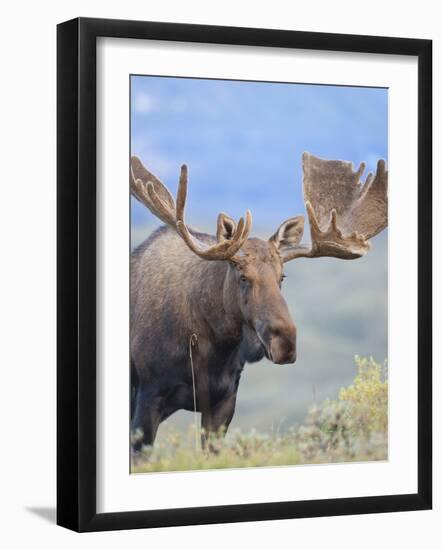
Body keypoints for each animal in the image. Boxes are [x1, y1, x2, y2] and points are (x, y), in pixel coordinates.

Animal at [130, 152, 386, 452]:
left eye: (282, 276)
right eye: (242, 276)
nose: (285, 342)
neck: (212, 348)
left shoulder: (223, 401)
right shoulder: (148, 396)